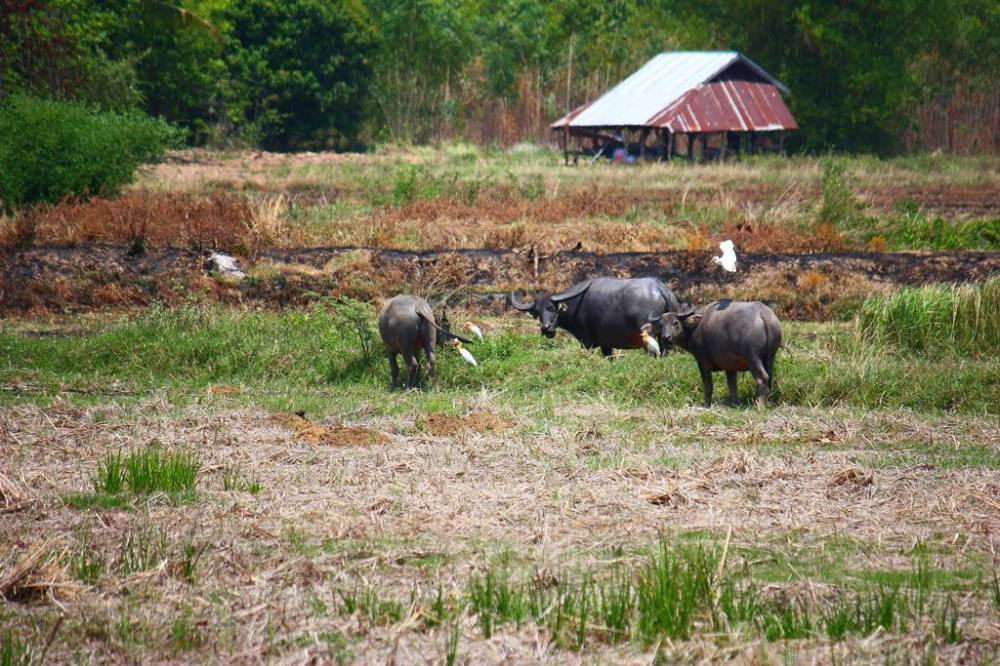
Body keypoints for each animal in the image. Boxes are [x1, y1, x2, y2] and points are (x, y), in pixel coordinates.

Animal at [512, 274, 684, 356]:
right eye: (537, 312)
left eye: (552, 308)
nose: (546, 328)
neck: (576, 304)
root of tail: (660, 289)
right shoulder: (606, 345)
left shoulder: (586, 342)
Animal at [652, 300, 784, 404]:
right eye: (661, 325)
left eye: (675, 322)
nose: (665, 338)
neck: (695, 327)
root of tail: (763, 313)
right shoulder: (730, 365)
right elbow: (732, 385)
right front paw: (735, 403)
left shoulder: (702, 361)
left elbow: (708, 386)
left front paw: (707, 405)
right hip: (770, 357)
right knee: (770, 377)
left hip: (753, 357)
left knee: (762, 377)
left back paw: (759, 404)